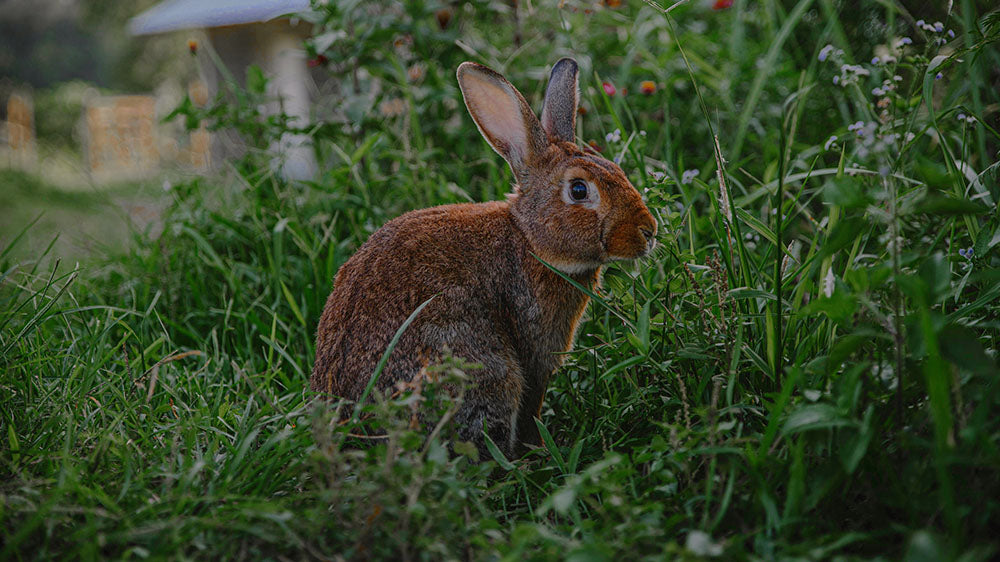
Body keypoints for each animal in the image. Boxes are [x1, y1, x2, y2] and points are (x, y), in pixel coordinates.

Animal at [312, 59, 656, 458]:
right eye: (579, 189)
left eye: (616, 170)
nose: (649, 231)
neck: (528, 239)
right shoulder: (535, 351)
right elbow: (532, 404)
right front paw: (539, 450)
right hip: (483, 370)